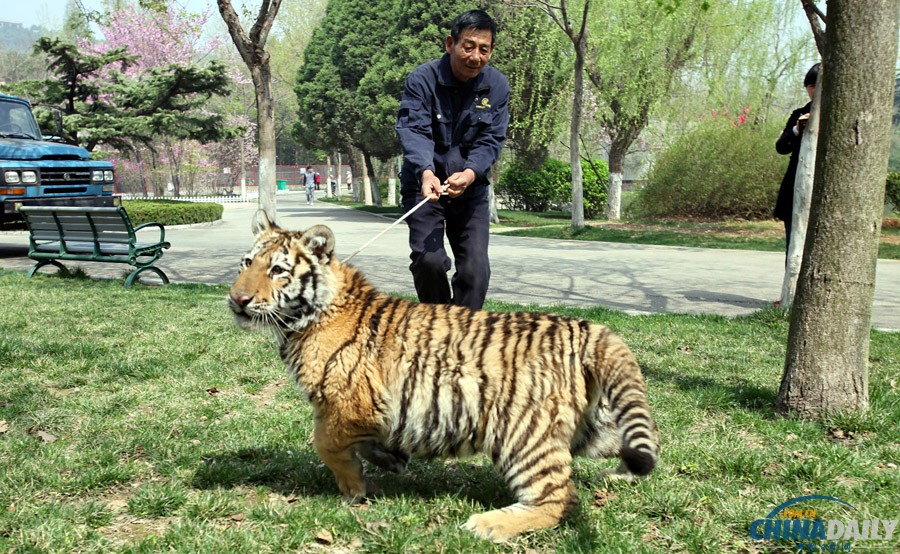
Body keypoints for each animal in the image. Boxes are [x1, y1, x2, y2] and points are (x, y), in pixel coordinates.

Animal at [227, 211, 659, 542]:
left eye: (278, 270)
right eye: (247, 263)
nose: (237, 300)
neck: (306, 316)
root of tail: (586, 328)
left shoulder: (347, 403)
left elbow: (326, 444)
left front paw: (354, 489)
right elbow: (361, 444)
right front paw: (389, 460)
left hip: (524, 434)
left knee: (558, 499)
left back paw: (487, 524)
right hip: (589, 427)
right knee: (640, 445)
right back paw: (620, 476)